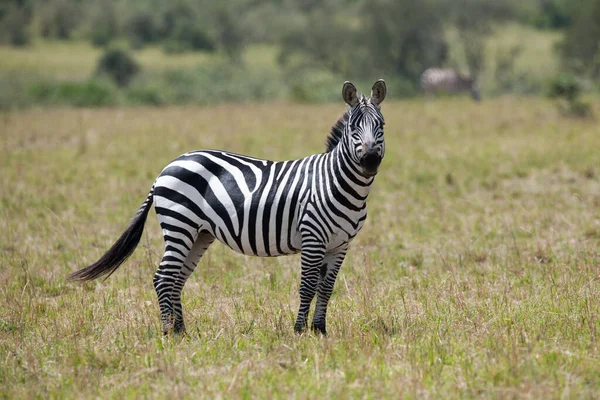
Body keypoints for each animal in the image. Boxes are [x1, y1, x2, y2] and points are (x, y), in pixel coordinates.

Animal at [69, 79, 390, 336]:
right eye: (353, 128)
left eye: (381, 126)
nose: (370, 161)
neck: (338, 183)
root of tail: (167, 167)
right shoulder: (313, 237)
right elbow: (308, 285)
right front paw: (300, 331)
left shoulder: (341, 244)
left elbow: (326, 288)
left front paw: (320, 331)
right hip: (180, 225)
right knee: (164, 277)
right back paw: (168, 333)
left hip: (199, 234)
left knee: (176, 279)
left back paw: (182, 332)